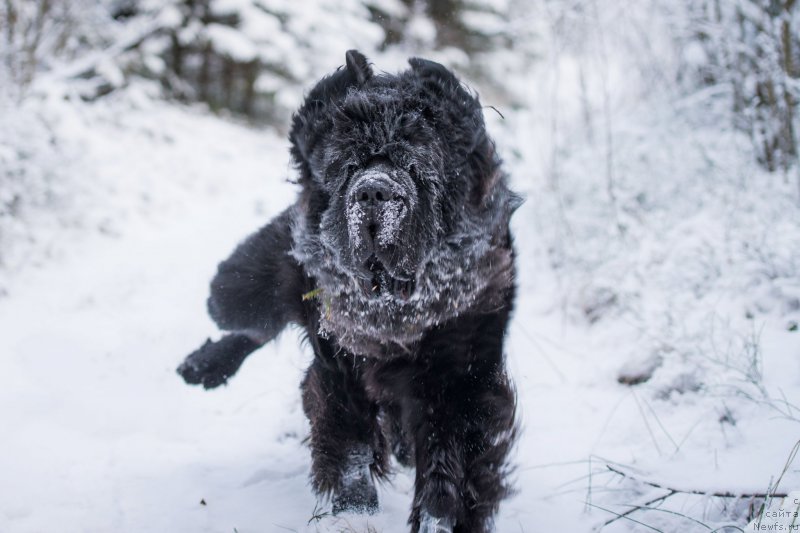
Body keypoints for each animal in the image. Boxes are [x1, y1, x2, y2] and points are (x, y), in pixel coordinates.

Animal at [178, 50, 520, 532]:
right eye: (349, 166)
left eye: (416, 167)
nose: (375, 191)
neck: (393, 308)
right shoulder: (339, 364)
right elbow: (349, 441)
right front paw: (355, 512)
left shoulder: (460, 375)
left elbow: (449, 459)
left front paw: (439, 518)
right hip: (253, 286)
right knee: (253, 318)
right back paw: (202, 366)